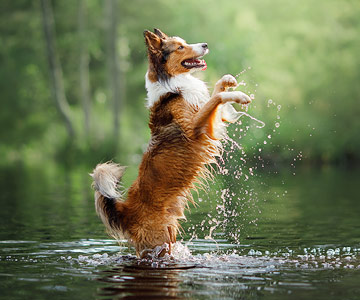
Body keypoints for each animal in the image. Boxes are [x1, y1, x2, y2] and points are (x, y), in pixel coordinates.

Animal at [91, 28, 252, 258]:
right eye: (180, 47)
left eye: (184, 42)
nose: (205, 44)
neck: (173, 86)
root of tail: (125, 212)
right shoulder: (195, 128)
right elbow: (216, 98)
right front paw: (238, 95)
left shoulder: (207, 119)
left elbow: (215, 93)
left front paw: (228, 80)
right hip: (158, 241)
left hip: (170, 234)